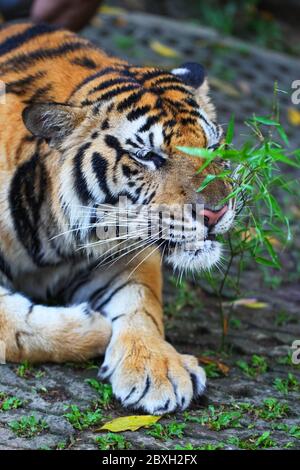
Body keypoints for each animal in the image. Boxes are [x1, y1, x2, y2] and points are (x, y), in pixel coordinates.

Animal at [0, 22, 234, 414]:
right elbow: (13, 326)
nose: (216, 212)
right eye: (148, 156)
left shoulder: (122, 253)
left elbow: (142, 303)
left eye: (212, 147)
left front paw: (158, 368)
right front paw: (95, 327)